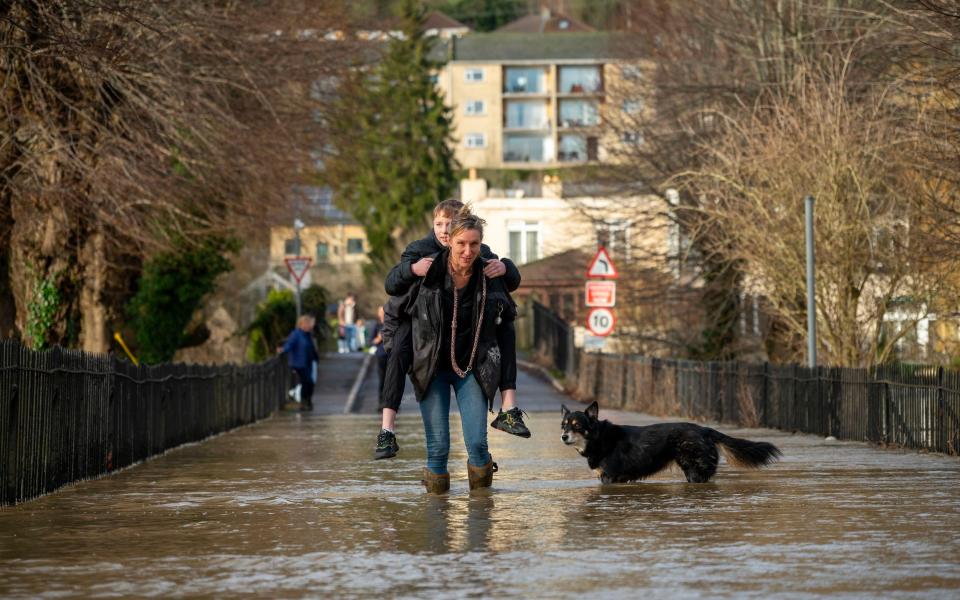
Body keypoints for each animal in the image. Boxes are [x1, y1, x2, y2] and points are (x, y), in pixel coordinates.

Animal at [564, 404, 780, 482]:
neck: (599, 437)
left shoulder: (609, 478)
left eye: (577, 425)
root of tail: (705, 430)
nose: (563, 437)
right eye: (564, 425)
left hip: (695, 471)